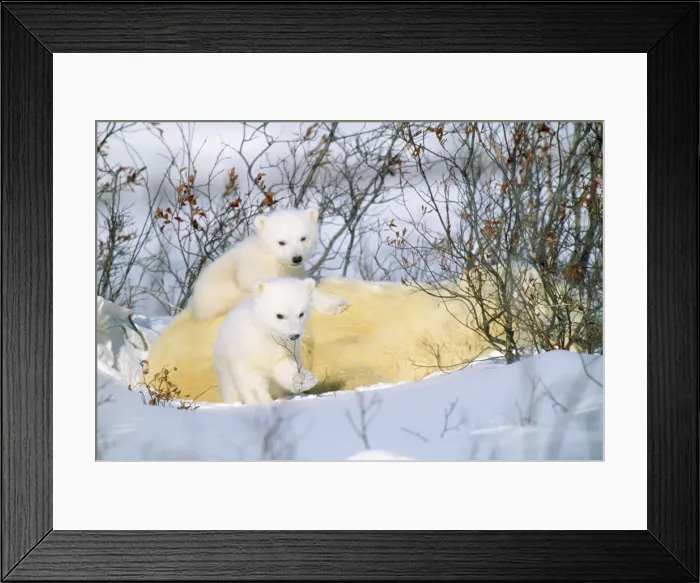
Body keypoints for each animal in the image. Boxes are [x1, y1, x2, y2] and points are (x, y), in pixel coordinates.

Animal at [189, 206, 348, 322]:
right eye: (282, 242)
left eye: (303, 238)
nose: (296, 258)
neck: (273, 258)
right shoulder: (258, 271)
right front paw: (335, 305)